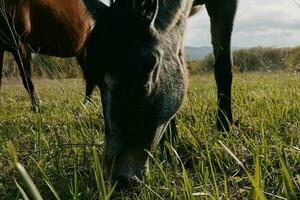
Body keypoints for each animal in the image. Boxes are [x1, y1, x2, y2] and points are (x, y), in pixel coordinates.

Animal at [85, 0, 238, 188]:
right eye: (99, 86)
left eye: (142, 89)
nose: (119, 180)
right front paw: (170, 149)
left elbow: (222, 67)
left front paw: (225, 130)